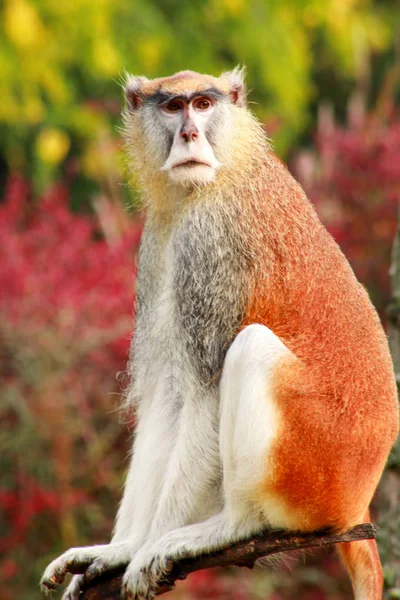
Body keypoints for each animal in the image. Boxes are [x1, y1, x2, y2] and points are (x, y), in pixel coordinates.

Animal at [41, 68, 400, 596]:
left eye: (204, 104)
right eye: (174, 107)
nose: (190, 134)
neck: (224, 169)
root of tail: (357, 502)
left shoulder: (210, 243)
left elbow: (206, 391)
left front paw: (147, 548)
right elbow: (170, 395)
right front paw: (118, 550)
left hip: (312, 470)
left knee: (251, 349)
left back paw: (231, 525)